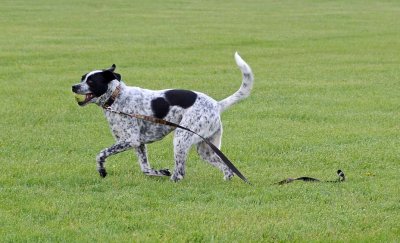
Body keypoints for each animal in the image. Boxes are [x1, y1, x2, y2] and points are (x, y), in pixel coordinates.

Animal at [71, 52, 253, 181]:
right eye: (82, 78)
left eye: (91, 81)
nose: (73, 86)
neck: (117, 97)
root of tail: (216, 104)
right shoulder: (139, 144)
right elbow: (145, 169)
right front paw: (161, 172)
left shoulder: (131, 140)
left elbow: (101, 154)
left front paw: (102, 170)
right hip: (205, 149)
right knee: (228, 169)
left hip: (180, 139)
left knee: (180, 173)